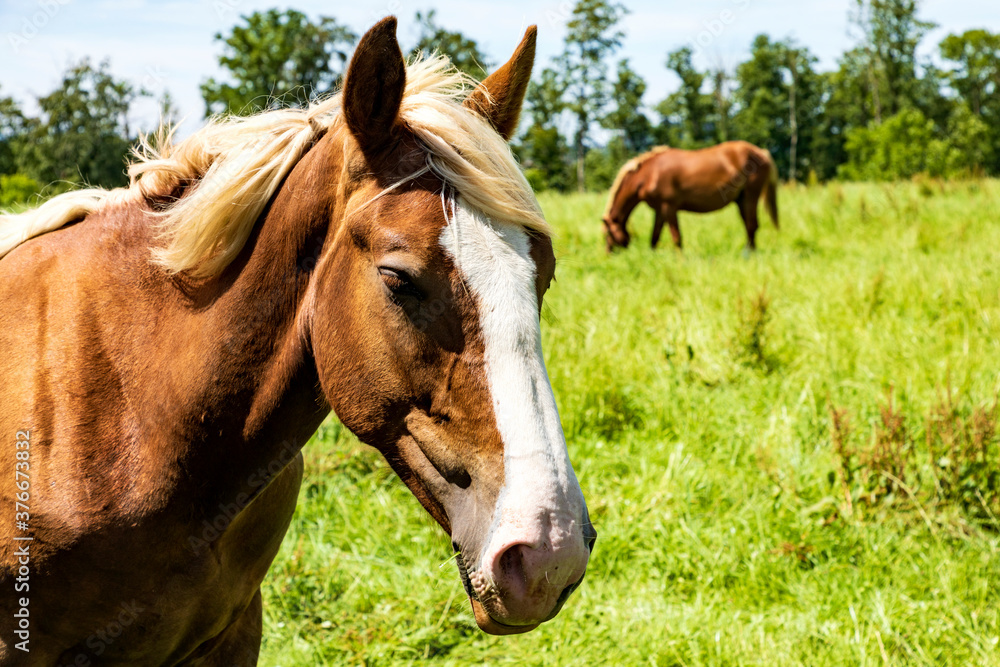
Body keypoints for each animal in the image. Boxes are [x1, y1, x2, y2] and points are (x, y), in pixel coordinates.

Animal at [600, 141, 780, 253]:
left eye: (608, 235)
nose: (608, 254)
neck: (649, 174)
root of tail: (761, 153)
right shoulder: (660, 210)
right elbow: (654, 237)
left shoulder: (669, 208)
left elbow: (676, 238)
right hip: (741, 200)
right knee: (749, 226)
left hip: (750, 196)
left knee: (751, 225)